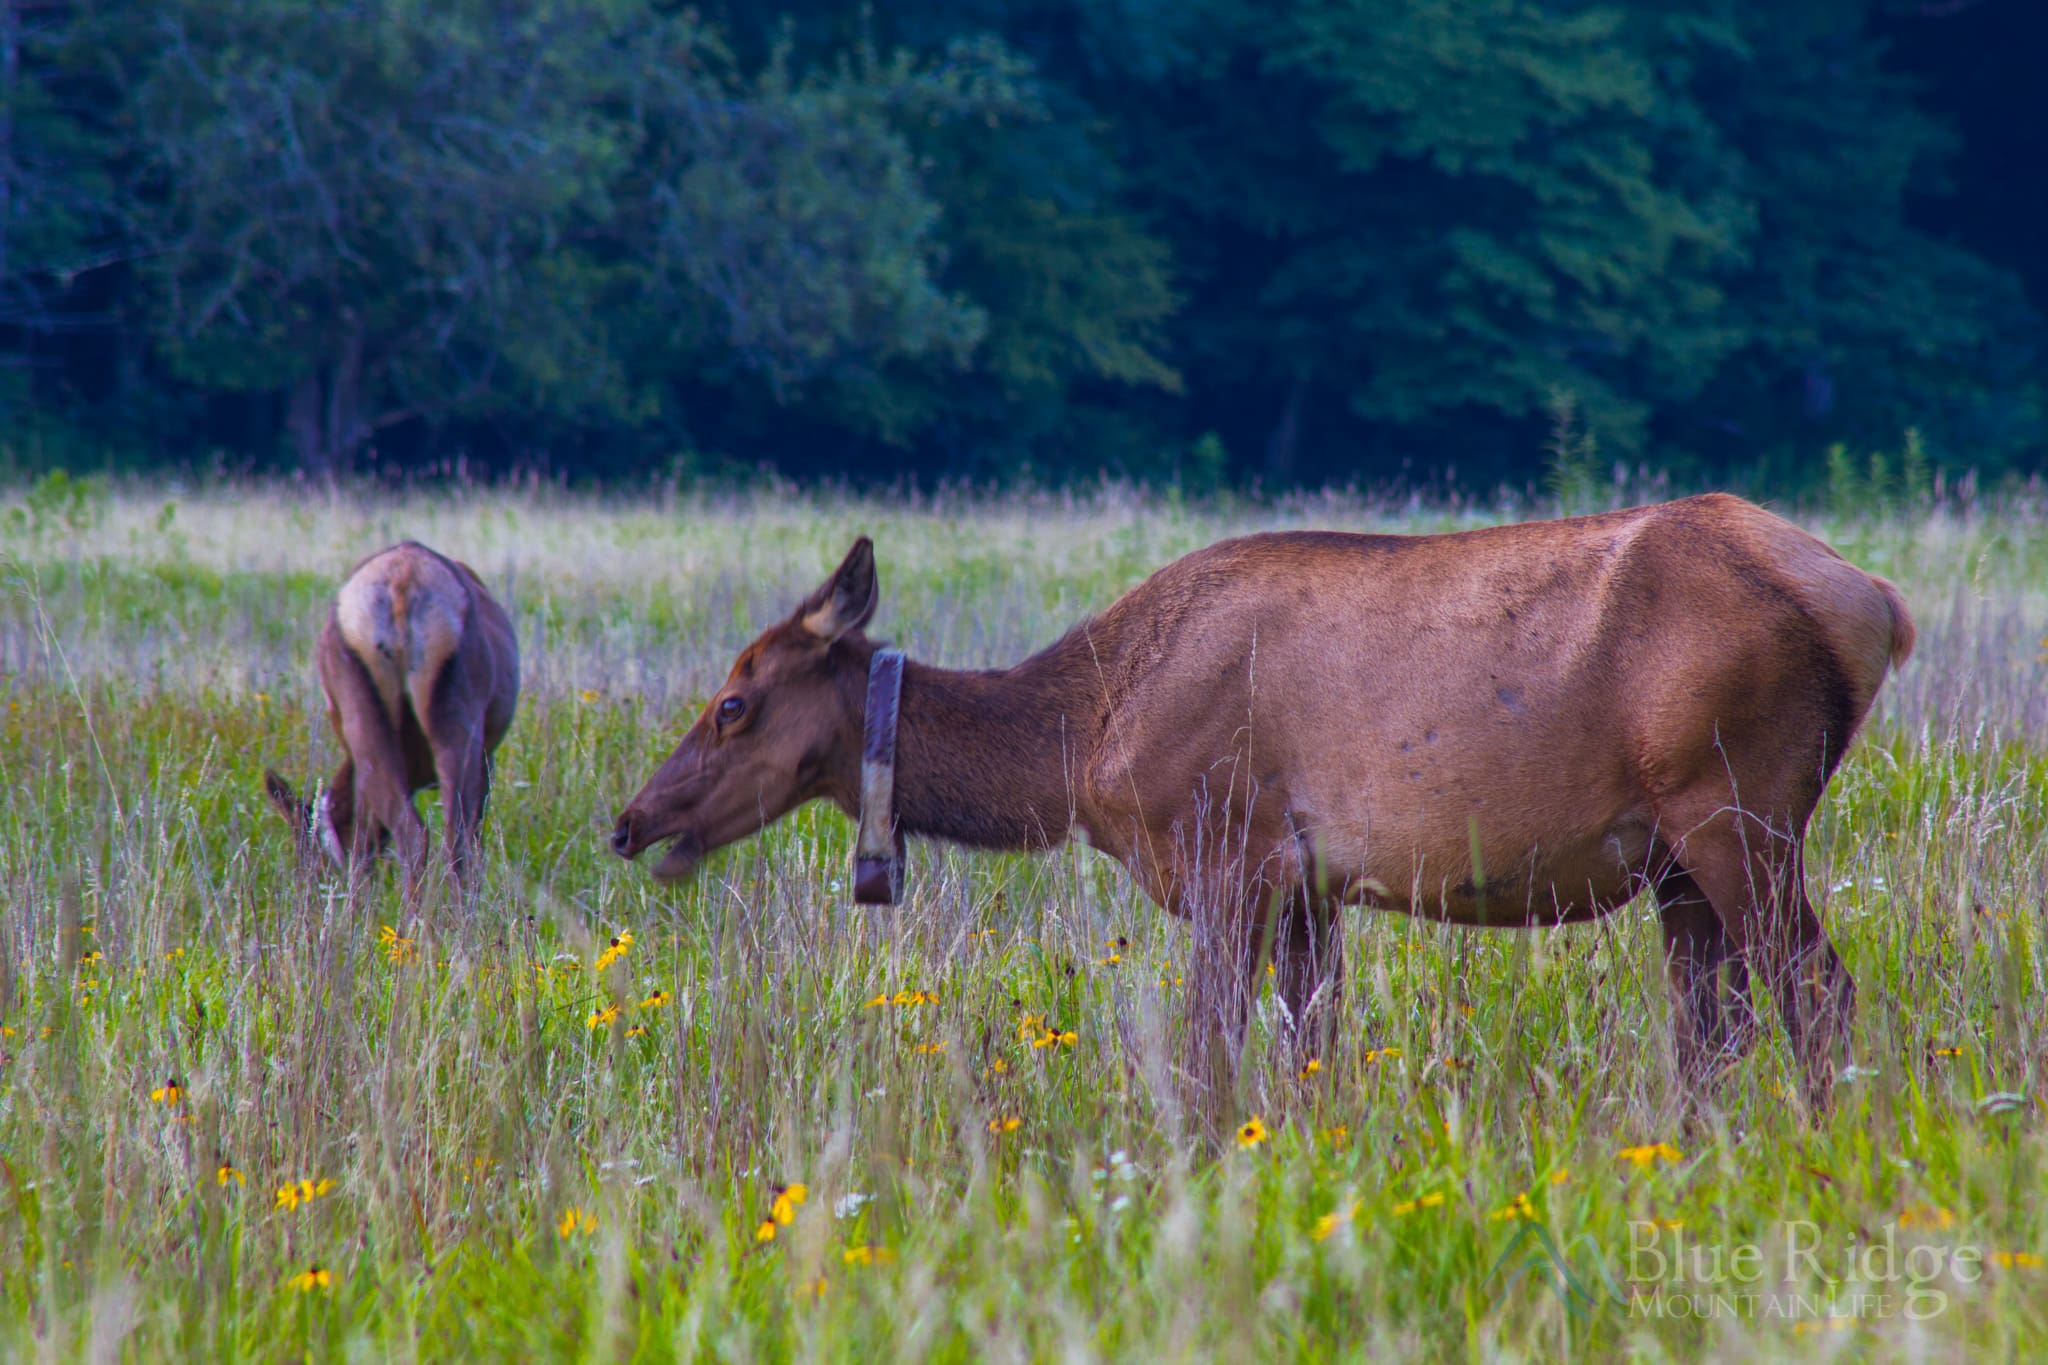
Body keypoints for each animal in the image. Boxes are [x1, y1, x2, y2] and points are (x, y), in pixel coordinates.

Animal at [264, 541, 520, 894]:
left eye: (308, 852)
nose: (312, 891)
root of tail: (402, 584)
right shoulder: (487, 756)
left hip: (367, 715)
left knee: (425, 837)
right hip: (457, 719)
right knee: (446, 840)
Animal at [609, 495, 1913, 1112]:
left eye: (733, 702)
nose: (628, 820)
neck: (1082, 743)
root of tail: (1874, 602)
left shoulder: (1225, 848)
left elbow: (1203, 1057)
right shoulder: (1308, 886)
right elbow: (1308, 1050)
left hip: (1735, 803)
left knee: (1816, 992)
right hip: (1681, 860)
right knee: (1712, 1027)